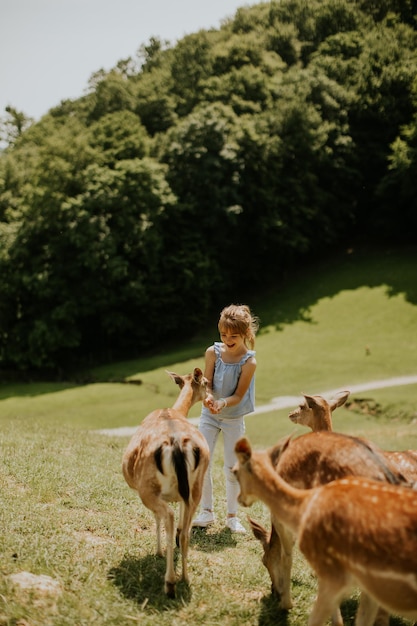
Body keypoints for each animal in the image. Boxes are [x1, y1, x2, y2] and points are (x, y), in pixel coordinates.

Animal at [122, 368, 210, 596]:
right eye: (207, 382)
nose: (211, 395)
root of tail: (177, 443)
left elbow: (157, 518)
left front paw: (158, 551)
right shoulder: (182, 493)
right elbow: (180, 517)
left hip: (147, 488)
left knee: (167, 516)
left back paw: (170, 583)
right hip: (197, 486)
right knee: (186, 530)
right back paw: (185, 577)